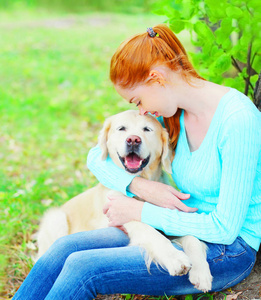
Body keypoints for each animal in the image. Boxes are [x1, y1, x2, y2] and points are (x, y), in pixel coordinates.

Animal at [36, 109, 211, 290]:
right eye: (121, 129)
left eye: (147, 129)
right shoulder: (119, 213)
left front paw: (201, 272)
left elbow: (192, 237)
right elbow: (148, 230)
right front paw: (175, 258)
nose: (133, 139)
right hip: (56, 218)